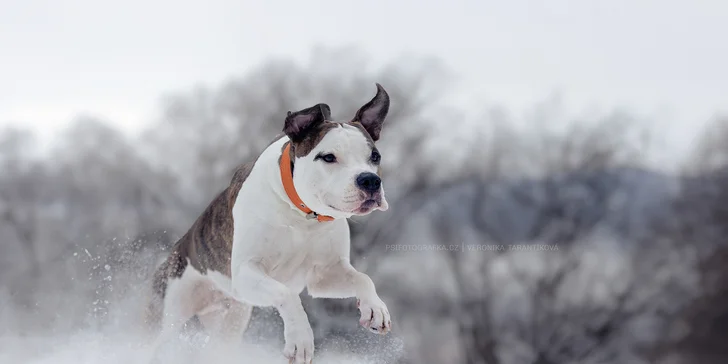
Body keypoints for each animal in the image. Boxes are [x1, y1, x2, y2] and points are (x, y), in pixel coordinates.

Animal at [146, 83, 392, 364]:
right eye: (328, 157)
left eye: (375, 156)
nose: (370, 180)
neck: (302, 215)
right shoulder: (246, 271)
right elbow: (286, 293)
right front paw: (300, 339)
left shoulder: (324, 274)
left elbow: (363, 278)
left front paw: (375, 308)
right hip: (166, 314)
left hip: (231, 321)